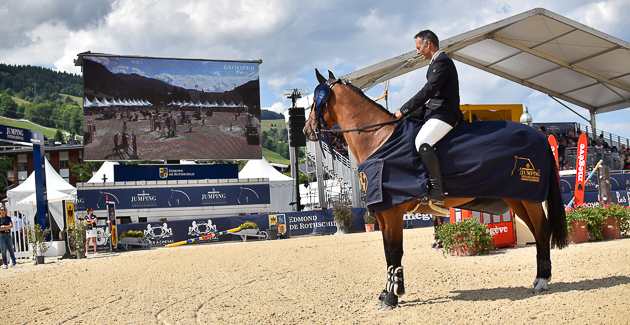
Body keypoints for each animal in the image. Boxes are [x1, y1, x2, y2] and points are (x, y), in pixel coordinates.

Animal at [306, 69, 572, 308]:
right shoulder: (381, 213)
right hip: (517, 198)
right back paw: (540, 278)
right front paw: (388, 291)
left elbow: (394, 250)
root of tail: (539, 135)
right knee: (537, 231)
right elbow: (388, 253)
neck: (379, 140)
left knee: (542, 229)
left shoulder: (392, 211)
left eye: (315, 101)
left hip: (530, 198)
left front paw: (392, 297)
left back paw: (541, 280)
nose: (306, 131)